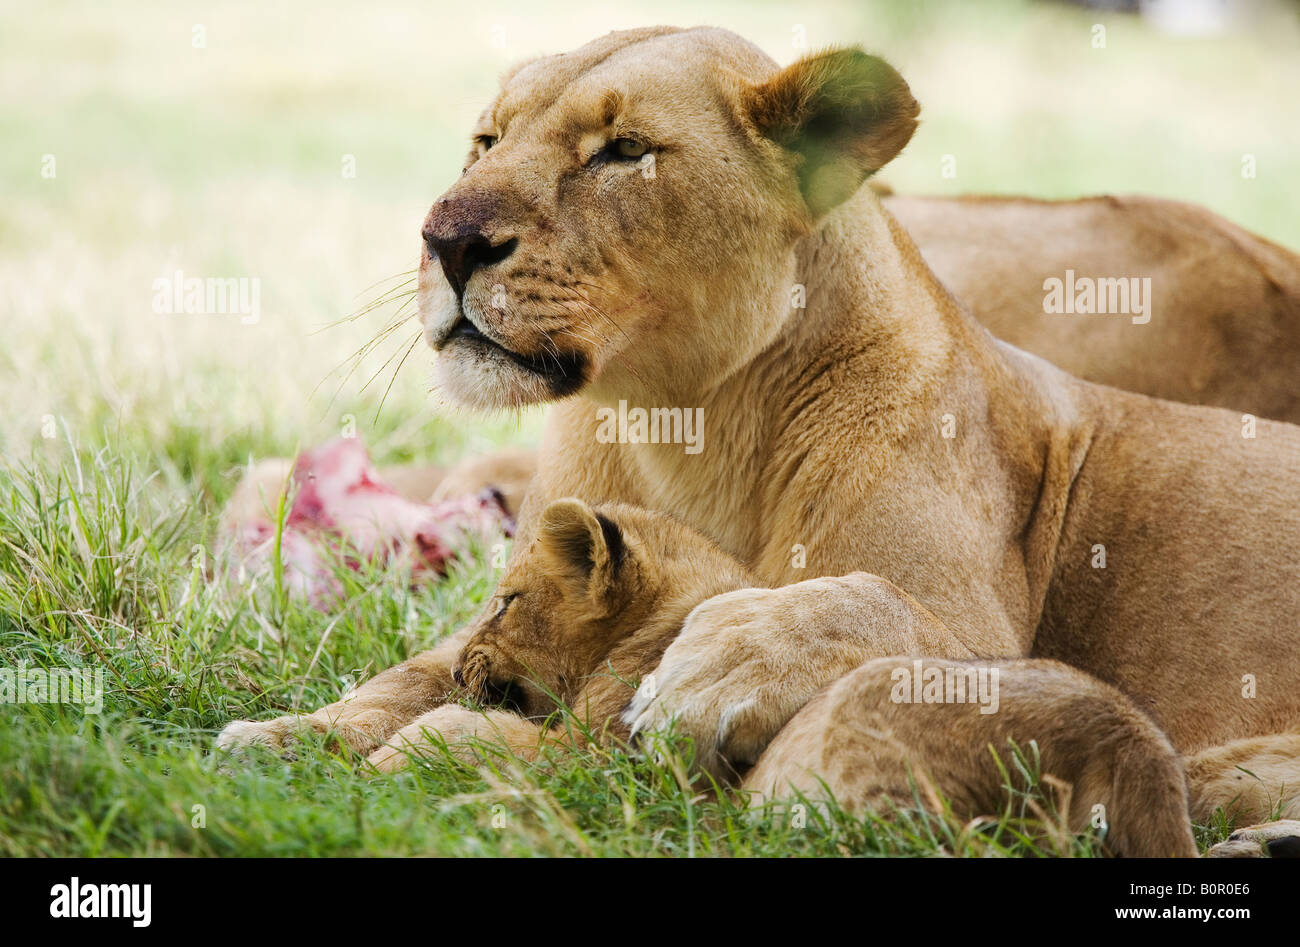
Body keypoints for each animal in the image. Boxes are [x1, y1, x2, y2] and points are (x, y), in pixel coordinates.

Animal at [220, 27, 1300, 847]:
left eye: (624, 151)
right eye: (484, 140)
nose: (444, 239)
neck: (683, 423)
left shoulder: (990, 641)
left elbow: (870, 603)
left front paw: (721, 659)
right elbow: (409, 670)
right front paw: (282, 734)